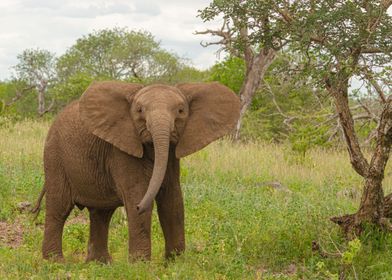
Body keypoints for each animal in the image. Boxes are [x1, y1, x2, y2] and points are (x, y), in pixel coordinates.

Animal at [33, 80, 240, 262]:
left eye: (181, 111)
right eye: (140, 111)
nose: (140, 206)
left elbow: (173, 201)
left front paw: (176, 264)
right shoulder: (121, 149)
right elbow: (137, 193)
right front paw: (140, 265)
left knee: (101, 214)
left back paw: (99, 264)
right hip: (54, 157)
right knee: (59, 209)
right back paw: (55, 263)